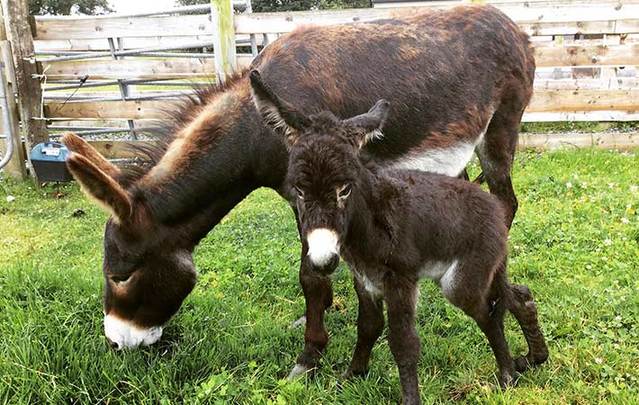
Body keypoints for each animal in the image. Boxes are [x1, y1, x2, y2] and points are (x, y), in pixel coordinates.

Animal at [250, 71, 552, 402]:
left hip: (460, 281)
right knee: (516, 295)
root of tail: (494, 208)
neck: (368, 224)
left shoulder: (400, 281)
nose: (321, 261)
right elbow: (368, 327)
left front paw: (410, 398)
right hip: (484, 269)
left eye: (345, 189)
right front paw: (351, 376)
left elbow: (403, 343)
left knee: (488, 313)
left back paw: (508, 375)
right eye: (299, 190)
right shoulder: (366, 281)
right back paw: (532, 358)